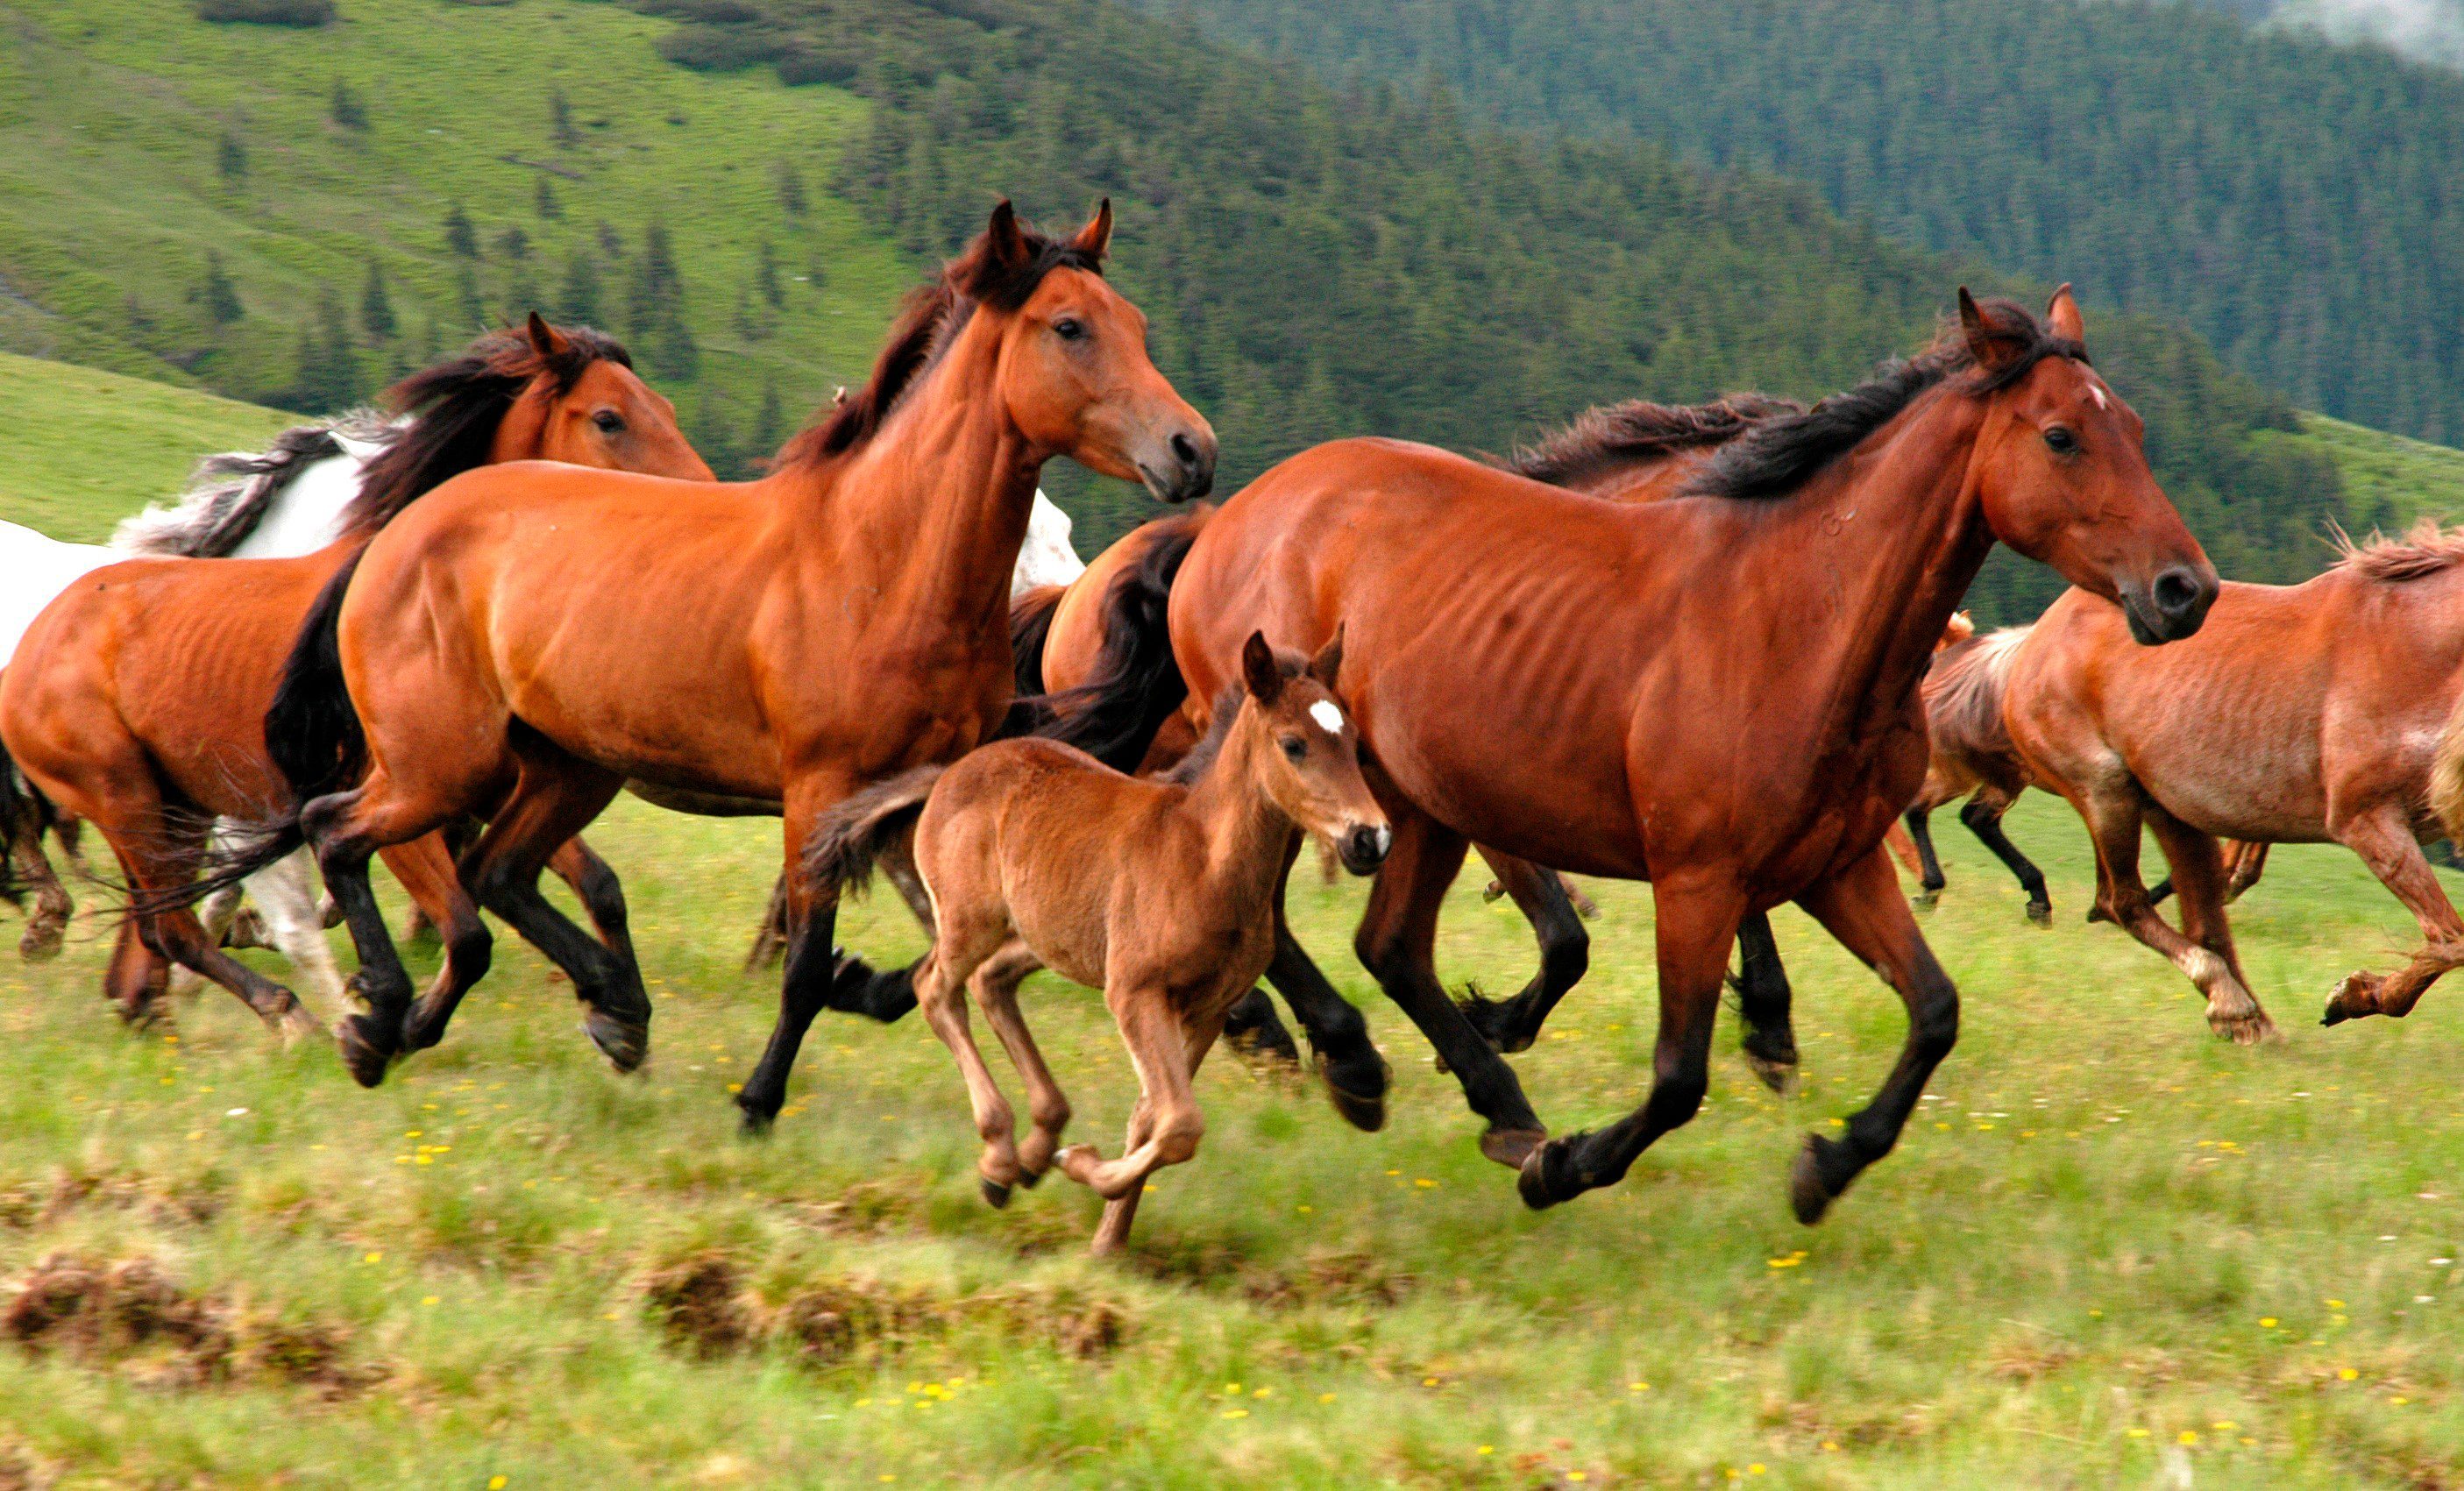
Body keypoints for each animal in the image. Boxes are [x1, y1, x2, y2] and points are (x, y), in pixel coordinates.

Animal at [2, 320, 714, 1054]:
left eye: (667, 407)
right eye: (608, 418)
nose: (706, 503)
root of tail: (35, 637)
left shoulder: (486, 785)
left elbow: (592, 884)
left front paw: (618, 1015)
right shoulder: (395, 795)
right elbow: (462, 926)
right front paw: (382, 1014)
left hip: (175, 805)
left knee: (151, 932)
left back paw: (158, 1007)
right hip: (127, 798)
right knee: (170, 925)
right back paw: (285, 1013)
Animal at [242, 207, 1212, 1113]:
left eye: (1136, 322)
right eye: (1070, 326)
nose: (1192, 450)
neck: (879, 563)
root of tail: (394, 538)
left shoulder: (912, 797)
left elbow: (933, 957)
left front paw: (861, 984)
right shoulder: (820, 792)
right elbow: (808, 968)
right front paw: (758, 1100)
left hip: (566, 767)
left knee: (495, 874)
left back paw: (576, 1013)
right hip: (441, 764)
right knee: (340, 832)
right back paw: (382, 1018)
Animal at [813, 635, 1380, 1252]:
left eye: (1352, 741)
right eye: (1294, 744)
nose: (1370, 837)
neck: (1204, 858)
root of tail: (949, 773)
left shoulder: (1206, 1009)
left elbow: (1153, 1118)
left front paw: (1108, 1241)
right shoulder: (1134, 993)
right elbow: (1180, 1124)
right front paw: (1084, 1167)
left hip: (1047, 935)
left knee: (992, 982)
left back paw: (1035, 1148)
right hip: (971, 923)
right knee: (936, 990)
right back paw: (1000, 1158)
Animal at [1089, 290, 2227, 1222]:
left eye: (2131, 428)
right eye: (2062, 435)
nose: (2186, 591)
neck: (1799, 620)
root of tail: (1229, 518)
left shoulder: (1838, 868)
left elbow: (1936, 1013)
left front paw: (1825, 1166)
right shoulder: (1697, 880)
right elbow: (1678, 1073)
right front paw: (1569, 1168)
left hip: (1418, 807)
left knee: (1393, 948)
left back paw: (1486, 1099)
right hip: (1308, 781)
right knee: (1286, 921)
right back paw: (1359, 1064)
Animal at [2010, 517, 2464, 1040]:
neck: (2416, 651)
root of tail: (2039, 635)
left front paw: (2355, 995)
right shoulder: (2368, 820)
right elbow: (2451, 941)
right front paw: (2352, 996)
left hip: (2171, 811)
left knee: (2200, 918)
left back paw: (2249, 1021)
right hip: (2106, 794)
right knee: (2122, 903)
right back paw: (2234, 1007)